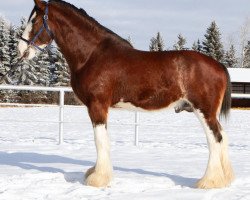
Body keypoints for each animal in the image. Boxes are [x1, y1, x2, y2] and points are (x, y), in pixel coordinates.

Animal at [18, 0, 234, 189]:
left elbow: (100, 141)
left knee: (215, 139)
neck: (92, 55)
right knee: (222, 136)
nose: (21, 50)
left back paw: (208, 182)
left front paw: (98, 179)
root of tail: (219, 66)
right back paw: (225, 179)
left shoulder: (97, 106)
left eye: (34, 21)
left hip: (203, 111)